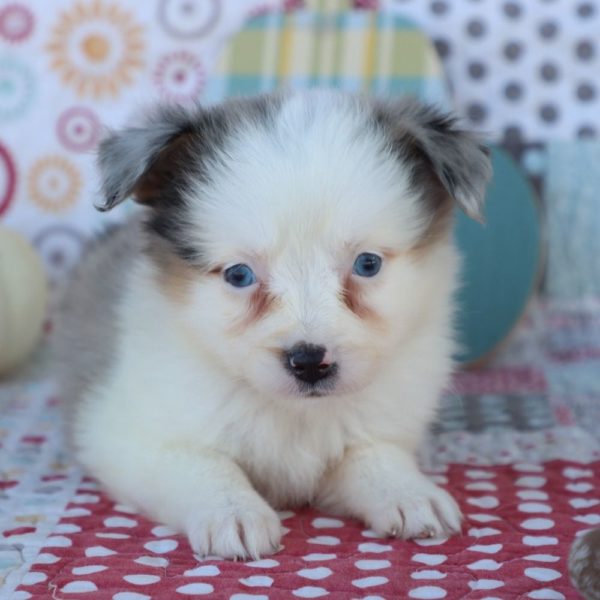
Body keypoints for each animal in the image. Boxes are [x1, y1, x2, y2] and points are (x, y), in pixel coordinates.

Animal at [55, 91, 492, 560]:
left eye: (367, 264)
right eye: (239, 275)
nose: (310, 363)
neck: (293, 411)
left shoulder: (376, 426)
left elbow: (373, 455)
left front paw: (409, 493)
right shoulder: (128, 434)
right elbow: (203, 464)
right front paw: (234, 511)